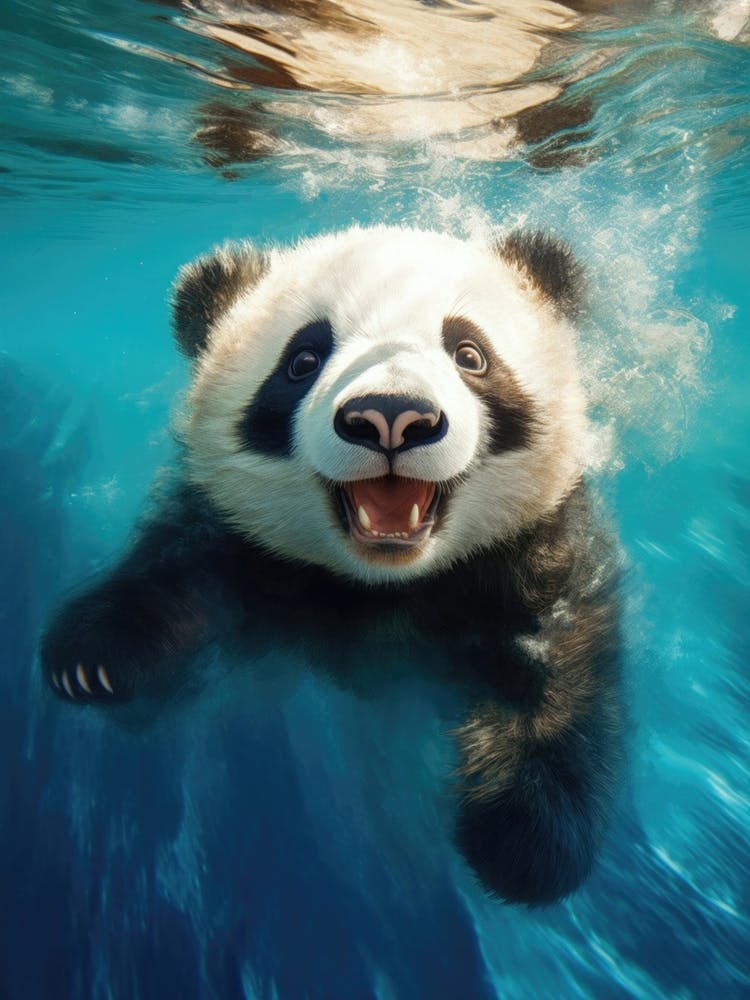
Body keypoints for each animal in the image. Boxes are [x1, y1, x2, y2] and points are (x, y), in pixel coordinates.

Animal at [41, 225, 623, 905]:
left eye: (470, 354)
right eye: (302, 360)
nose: (391, 416)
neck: (384, 584)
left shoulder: (536, 551)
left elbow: (558, 662)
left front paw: (528, 837)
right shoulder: (236, 539)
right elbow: (176, 573)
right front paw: (91, 658)